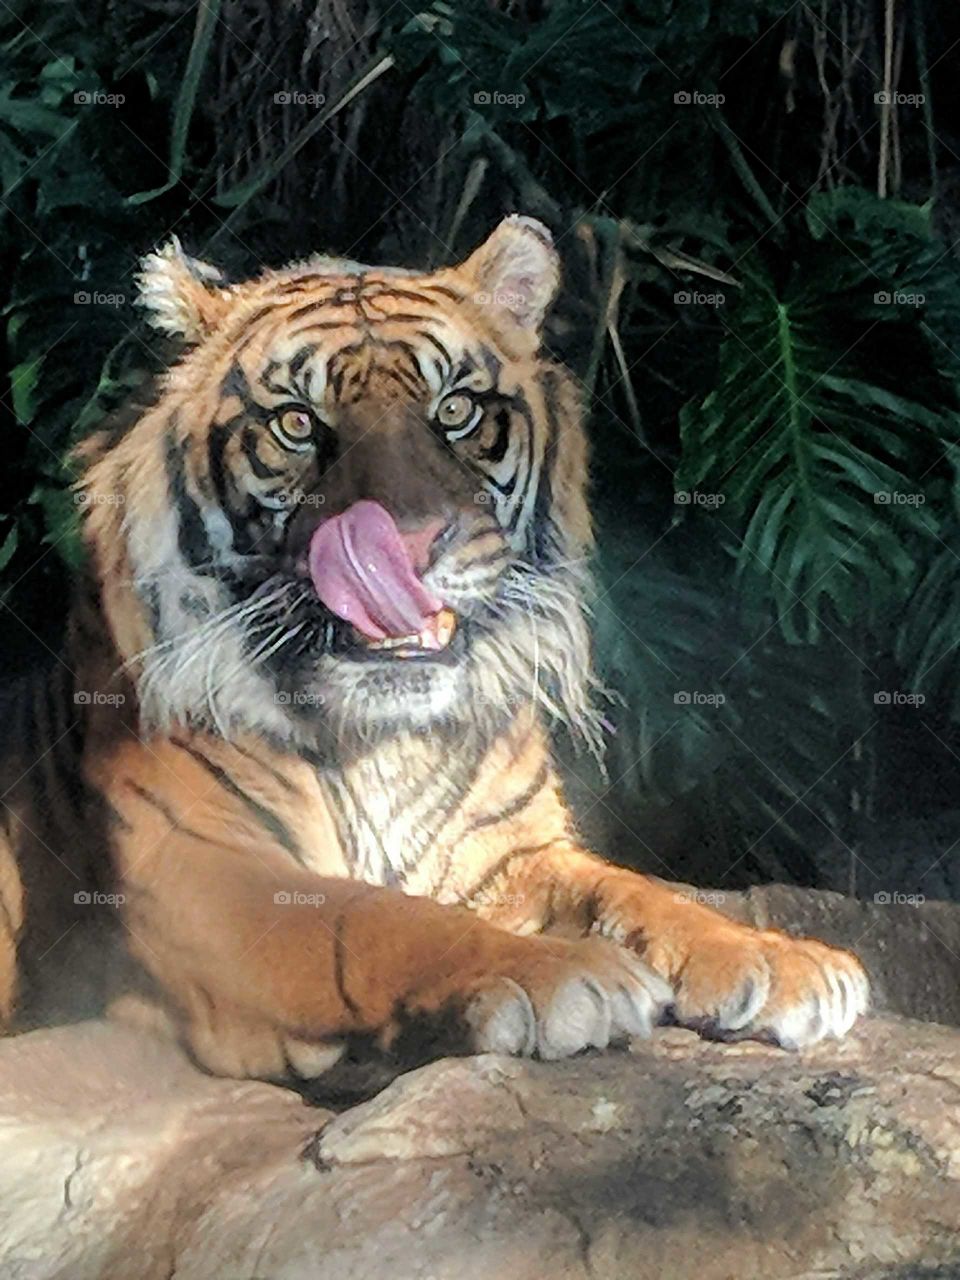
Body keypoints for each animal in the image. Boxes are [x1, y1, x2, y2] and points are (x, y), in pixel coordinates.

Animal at [0, 215, 870, 1085]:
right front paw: (558, 972)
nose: (405, 547)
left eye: (454, 410)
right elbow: (373, 919)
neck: (385, 737)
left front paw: (778, 959)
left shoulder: (516, 851)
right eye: (296, 423)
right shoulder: (196, 867)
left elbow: (636, 893)